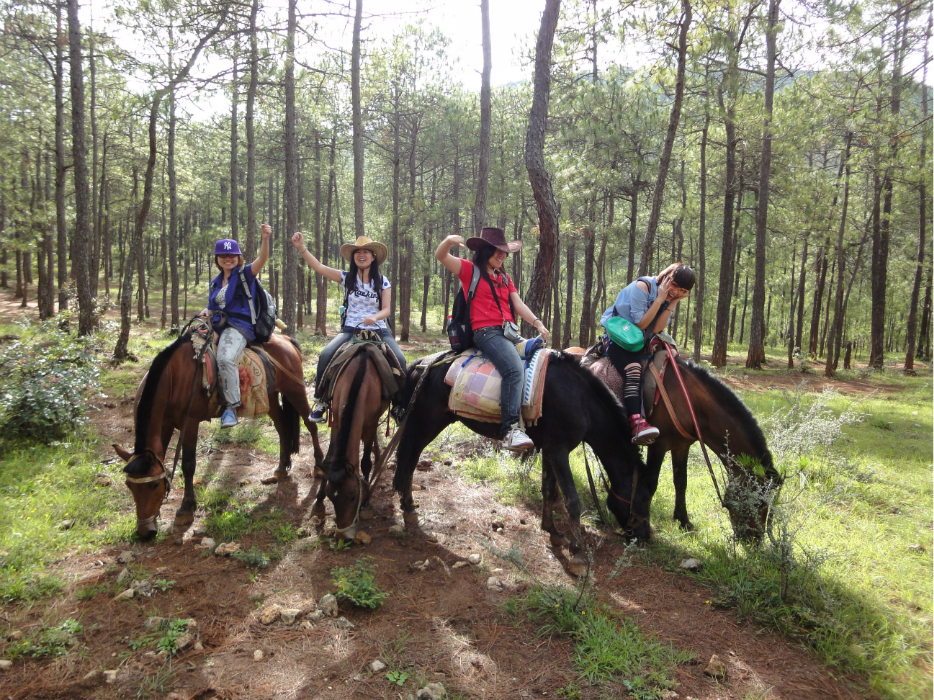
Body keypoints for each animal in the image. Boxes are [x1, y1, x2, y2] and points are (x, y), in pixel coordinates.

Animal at [113, 330, 324, 540]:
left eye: (155, 486)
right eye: (129, 486)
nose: (145, 532)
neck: (173, 377)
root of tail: (286, 339)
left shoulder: (190, 424)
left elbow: (188, 465)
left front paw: (186, 508)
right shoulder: (164, 424)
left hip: (294, 389)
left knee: (310, 425)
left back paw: (318, 466)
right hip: (270, 397)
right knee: (282, 427)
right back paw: (281, 467)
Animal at [312, 350, 390, 540]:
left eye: (354, 497)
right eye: (331, 497)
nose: (342, 536)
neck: (360, 380)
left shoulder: (370, 423)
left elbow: (365, 463)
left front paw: (367, 503)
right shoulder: (337, 420)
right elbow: (328, 460)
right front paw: (318, 505)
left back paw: (379, 456)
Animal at [394, 350, 652, 576]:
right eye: (643, 498)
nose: (646, 535)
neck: (579, 399)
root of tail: (422, 363)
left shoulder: (550, 449)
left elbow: (548, 489)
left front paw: (552, 531)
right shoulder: (559, 450)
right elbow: (572, 500)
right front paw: (577, 554)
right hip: (427, 422)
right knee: (409, 458)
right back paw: (409, 509)